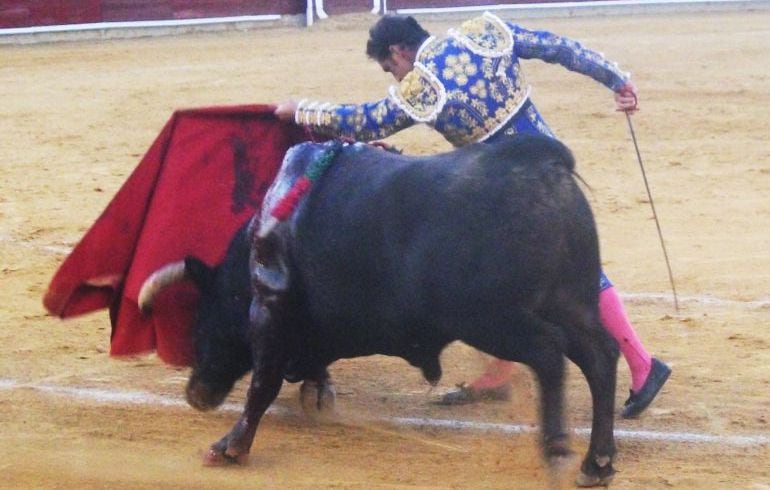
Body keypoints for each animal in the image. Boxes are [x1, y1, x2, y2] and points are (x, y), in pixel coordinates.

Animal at [141, 134, 616, 486]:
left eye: (202, 320)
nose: (195, 393)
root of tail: (544, 165)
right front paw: (317, 395)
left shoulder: (269, 311)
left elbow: (263, 383)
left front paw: (229, 447)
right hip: (572, 303)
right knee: (601, 357)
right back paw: (597, 462)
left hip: (492, 320)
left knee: (550, 354)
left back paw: (558, 451)